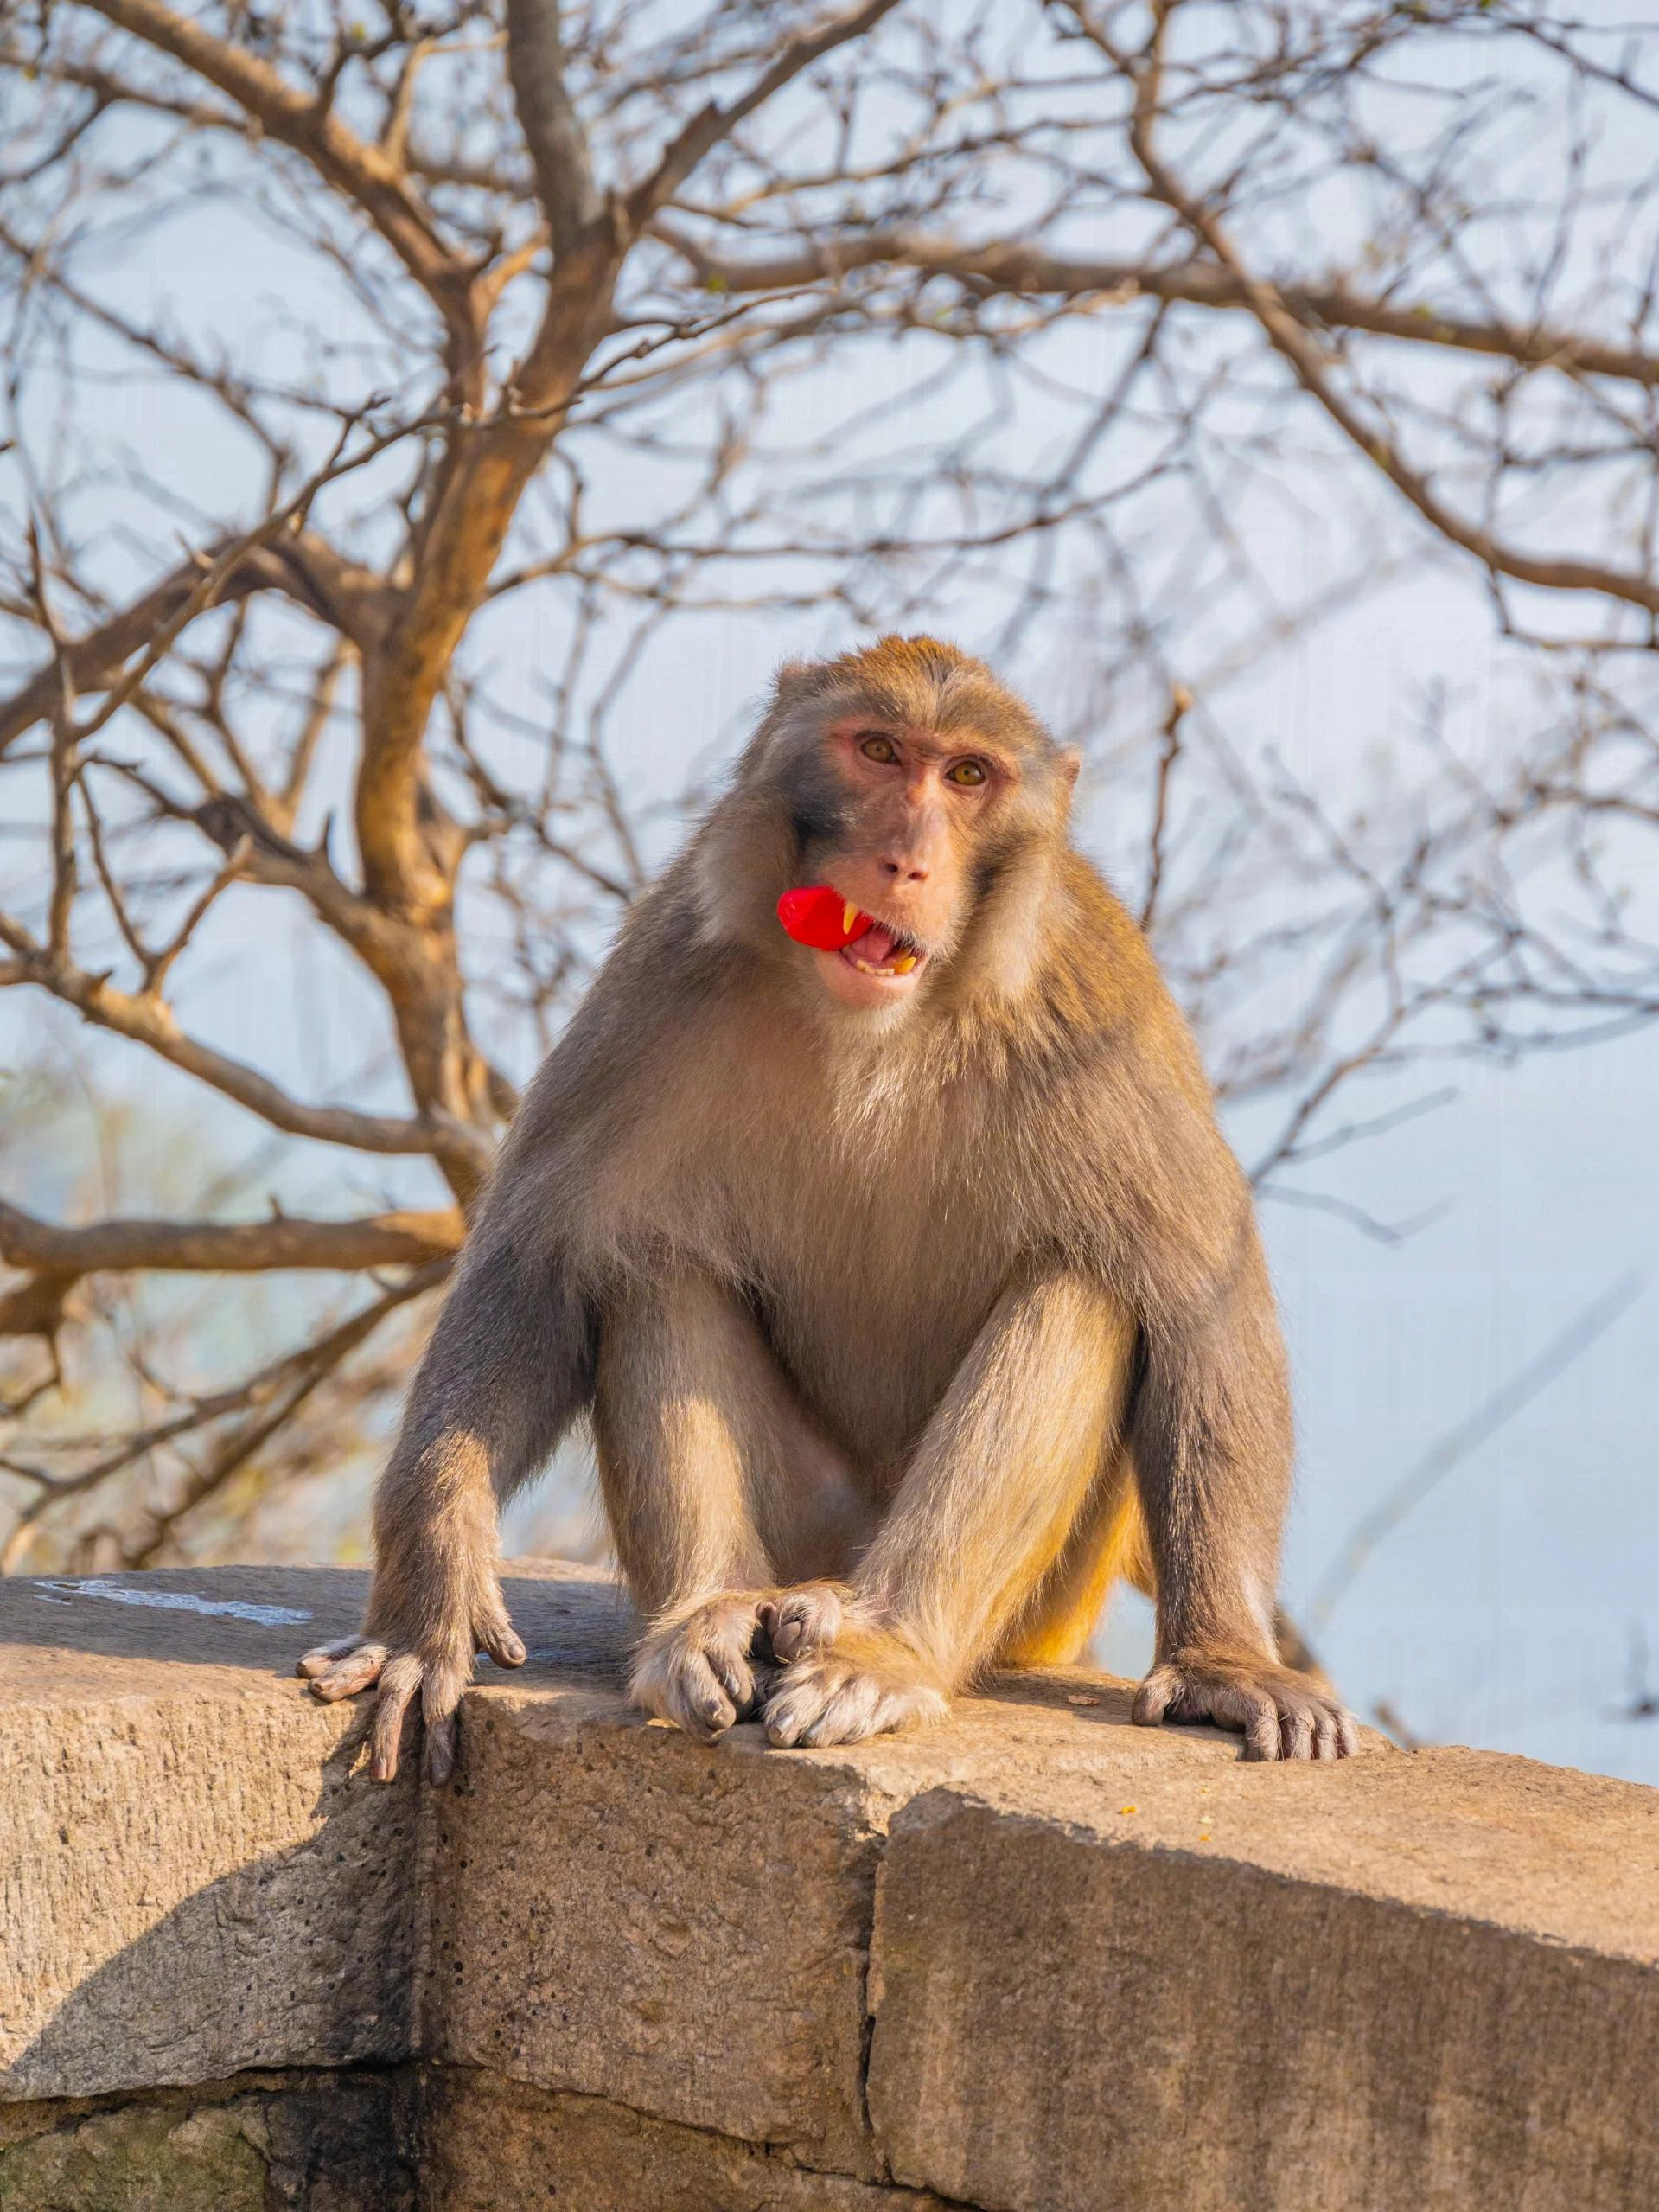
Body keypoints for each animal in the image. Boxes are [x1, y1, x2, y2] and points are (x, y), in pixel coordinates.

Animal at [303, 636, 1362, 1778]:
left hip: (1041, 1601)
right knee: (649, 1266)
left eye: (967, 775)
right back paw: (712, 1618)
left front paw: (1224, 1660)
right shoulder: (657, 982)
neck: (880, 1025)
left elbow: (1199, 1301)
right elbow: (536, 1266)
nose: (905, 860)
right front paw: (431, 1601)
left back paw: (878, 1649)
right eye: (880, 750)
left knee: (1083, 1284)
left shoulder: (1098, 1017)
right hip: (811, 1515)